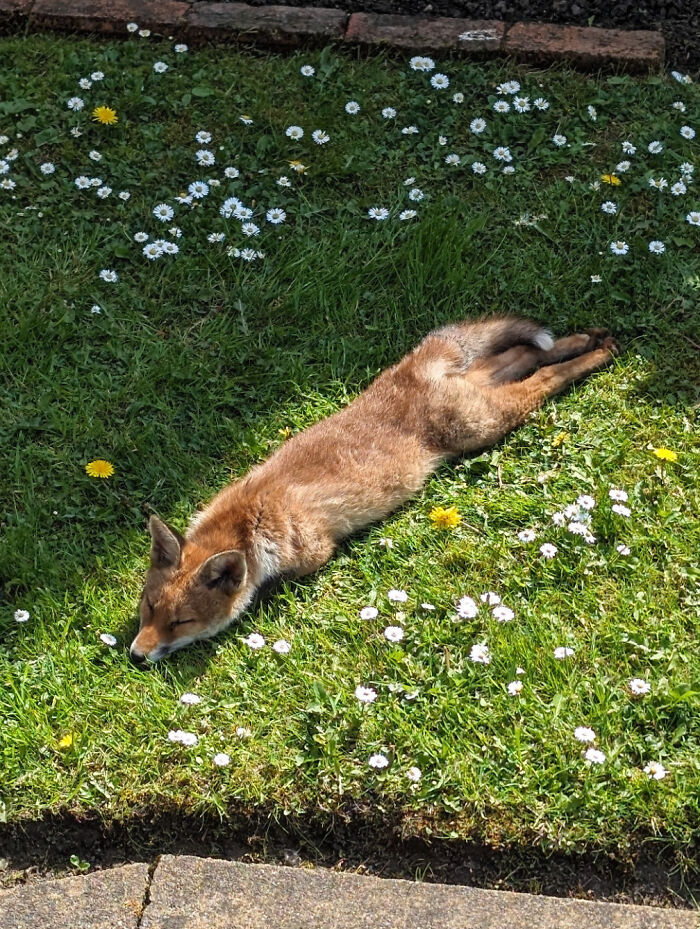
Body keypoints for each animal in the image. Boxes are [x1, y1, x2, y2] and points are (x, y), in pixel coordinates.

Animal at [130, 316, 618, 664]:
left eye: (182, 621)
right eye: (149, 608)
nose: (136, 656)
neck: (248, 520)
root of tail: (408, 374)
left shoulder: (314, 553)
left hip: (486, 423)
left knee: (544, 380)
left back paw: (595, 355)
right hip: (483, 391)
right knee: (524, 353)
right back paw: (582, 339)